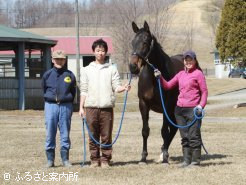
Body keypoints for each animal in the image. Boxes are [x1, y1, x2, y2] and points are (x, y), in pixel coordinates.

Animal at [129, 21, 184, 164]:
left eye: (145, 42)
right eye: (132, 42)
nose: (133, 67)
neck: (154, 78)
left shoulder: (166, 106)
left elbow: (164, 131)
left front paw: (164, 158)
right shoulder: (143, 104)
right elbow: (145, 131)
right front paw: (143, 157)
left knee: (173, 129)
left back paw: (164, 153)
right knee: (174, 128)